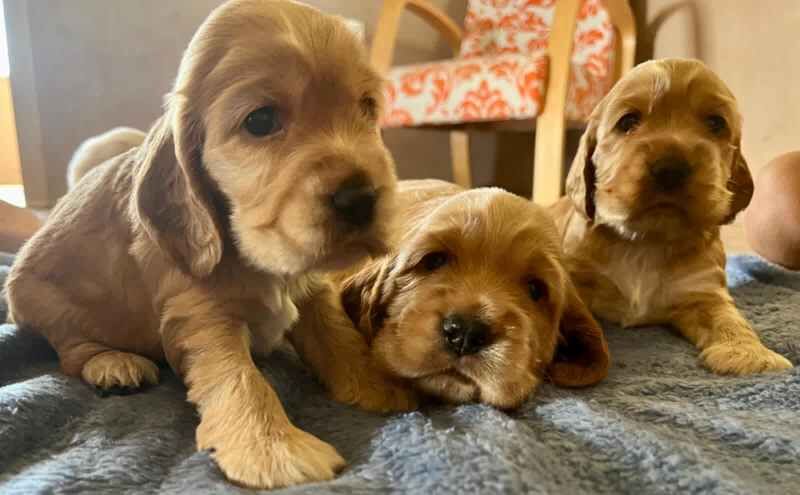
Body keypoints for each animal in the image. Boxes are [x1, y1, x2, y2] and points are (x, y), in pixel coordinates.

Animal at [6, 0, 416, 488]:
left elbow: (339, 335)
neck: (258, 258)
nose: (360, 198)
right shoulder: (199, 311)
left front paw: (378, 386)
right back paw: (113, 364)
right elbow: (239, 377)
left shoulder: (311, 289)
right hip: (44, 299)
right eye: (260, 121)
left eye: (367, 107)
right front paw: (273, 447)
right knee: (69, 350)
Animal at [552, 58, 792, 376]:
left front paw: (749, 354)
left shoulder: (704, 291)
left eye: (716, 123)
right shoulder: (577, 277)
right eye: (627, 122)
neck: (646, 241)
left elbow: (730, 319)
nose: (670, 168)